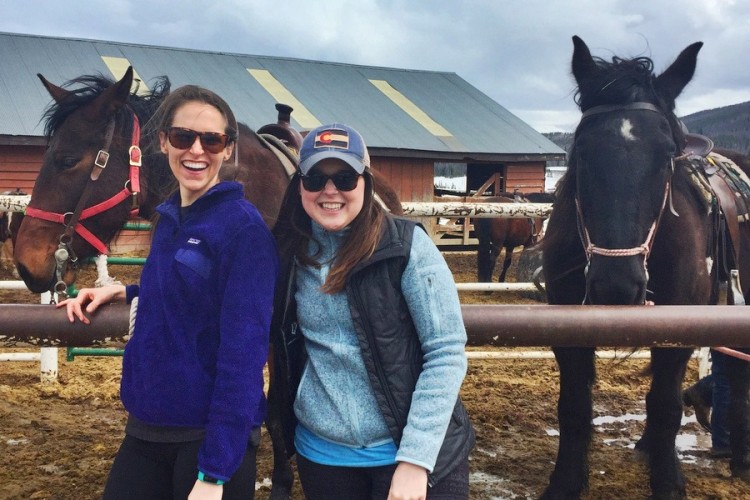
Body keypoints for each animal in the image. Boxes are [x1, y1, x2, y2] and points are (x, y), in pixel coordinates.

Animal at [540, 35, 750, 496]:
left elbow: (666, 405)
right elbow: (574, 406)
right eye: (581, 151)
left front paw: (667, 481)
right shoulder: (564, 326)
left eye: (668, 153)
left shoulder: (682, 327)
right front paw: (565, 482)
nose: (616, 287)